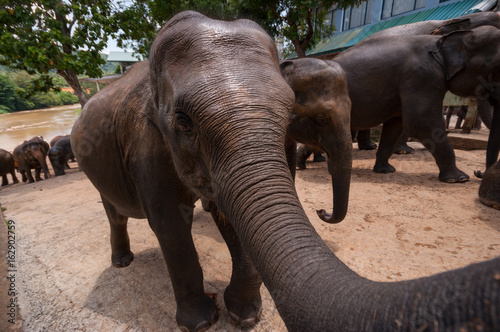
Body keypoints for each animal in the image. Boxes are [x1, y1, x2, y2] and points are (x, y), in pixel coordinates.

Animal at [334, 24, 500, 183]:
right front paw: (459, 178)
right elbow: (421, 123)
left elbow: (395, 125)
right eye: (496, 67)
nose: (477, 173)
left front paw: (386, 170)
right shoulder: (421, 77)